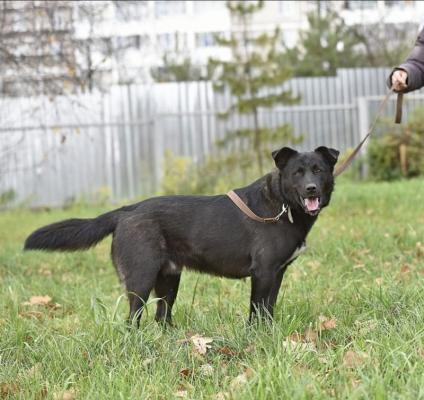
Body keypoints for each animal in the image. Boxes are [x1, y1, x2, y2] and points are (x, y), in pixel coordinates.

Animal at [24, 147, 340, 324]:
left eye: (318, 170)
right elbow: (256, 312)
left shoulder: (277, 273)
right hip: (141, 279)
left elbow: (269, 310)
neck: (283, 205)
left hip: (169, 280)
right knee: (133, 319)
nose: (311, 188)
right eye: (297, 172)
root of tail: (125, 211)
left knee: (161, 318)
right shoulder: (262, 273)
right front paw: (256, 338)